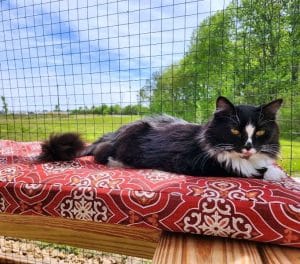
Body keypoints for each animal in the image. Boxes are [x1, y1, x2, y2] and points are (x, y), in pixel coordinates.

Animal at [38, 97, 288, 182]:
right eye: (235, 131)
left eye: (260, 133)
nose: (248, 147)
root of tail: (113, 134)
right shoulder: (201, 163)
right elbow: (247, 171)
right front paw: (271, 174)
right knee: (102, 155)